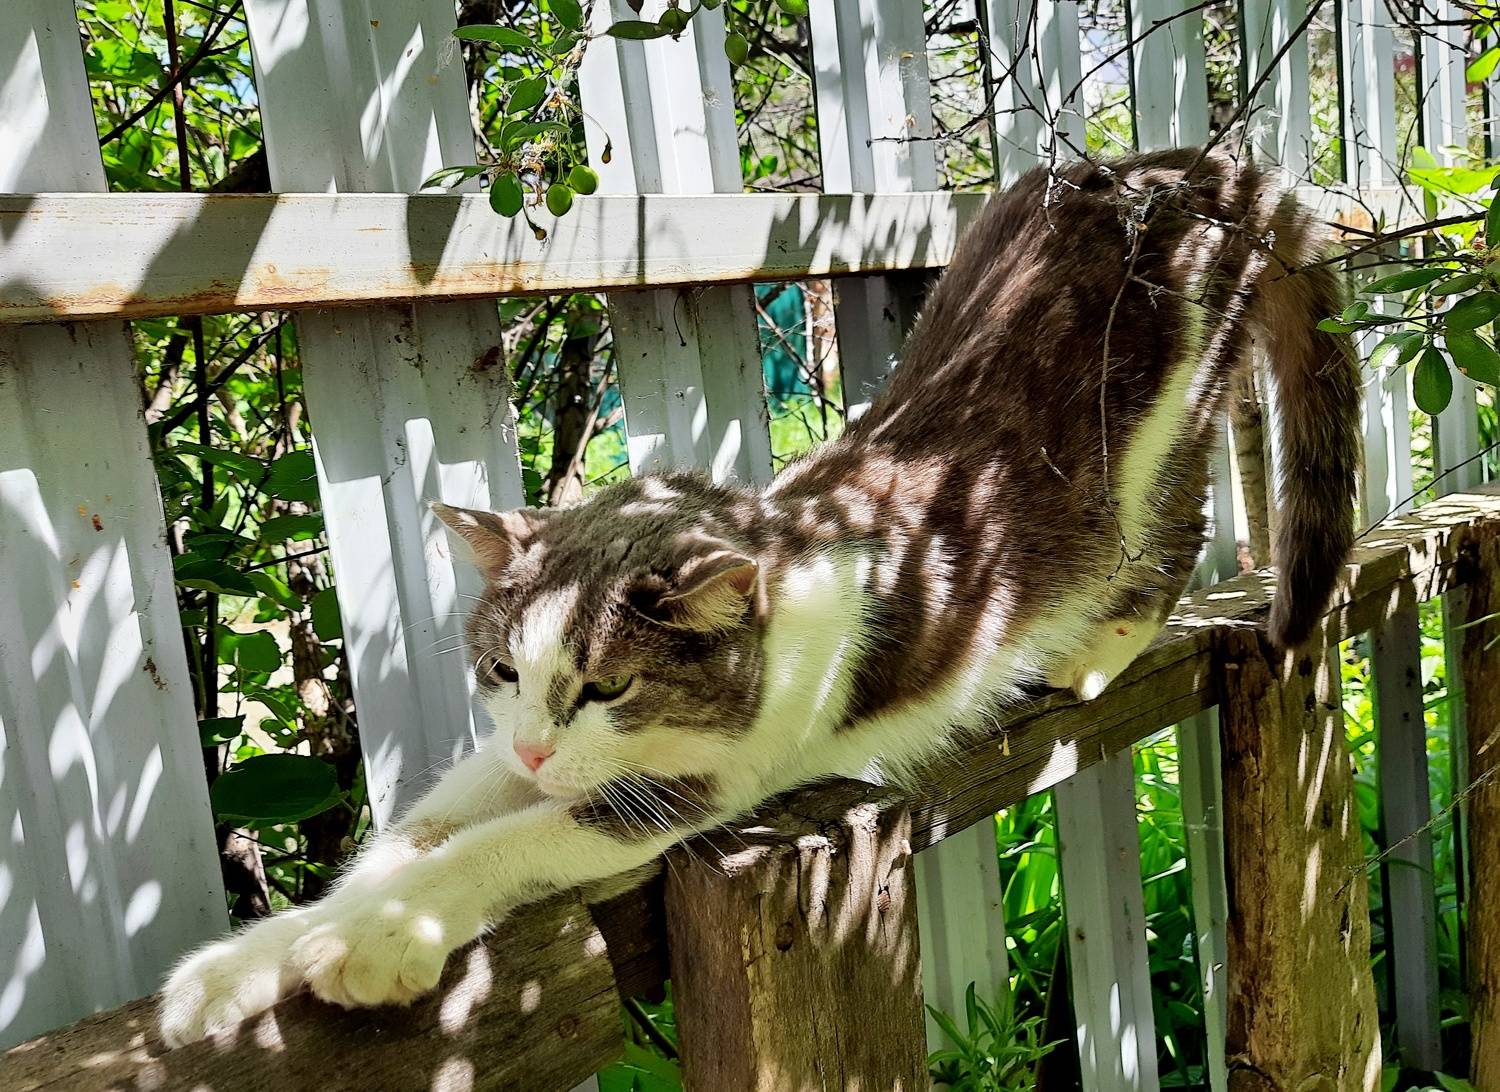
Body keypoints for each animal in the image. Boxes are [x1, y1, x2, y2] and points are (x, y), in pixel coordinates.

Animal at [158, 146, 1360, 1045]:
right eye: (502, 671)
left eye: (608, 687)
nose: (539, 749)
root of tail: (1179, 163)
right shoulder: (509, 760)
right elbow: (417, 835)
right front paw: (249, 962)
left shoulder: (701, 783)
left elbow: (508, 842)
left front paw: (378, 940)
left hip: (1164, 424)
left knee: (1170, 524)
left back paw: (1097, 647)